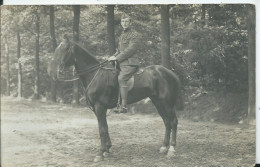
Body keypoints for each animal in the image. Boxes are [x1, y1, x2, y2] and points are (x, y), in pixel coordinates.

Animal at [48, 35, 183, 162]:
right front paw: (107, 150)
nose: (53, 72)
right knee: (167, 122)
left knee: (173, 122)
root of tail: (171, 73)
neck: (95, 74)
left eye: (64, 49)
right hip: (158, 102)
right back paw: (164, 147)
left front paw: (100, 153)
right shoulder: (98, 109)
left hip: (167, 104)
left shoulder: (99, 106)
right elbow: (105, 127)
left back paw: (171, 149)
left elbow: (102, 129)